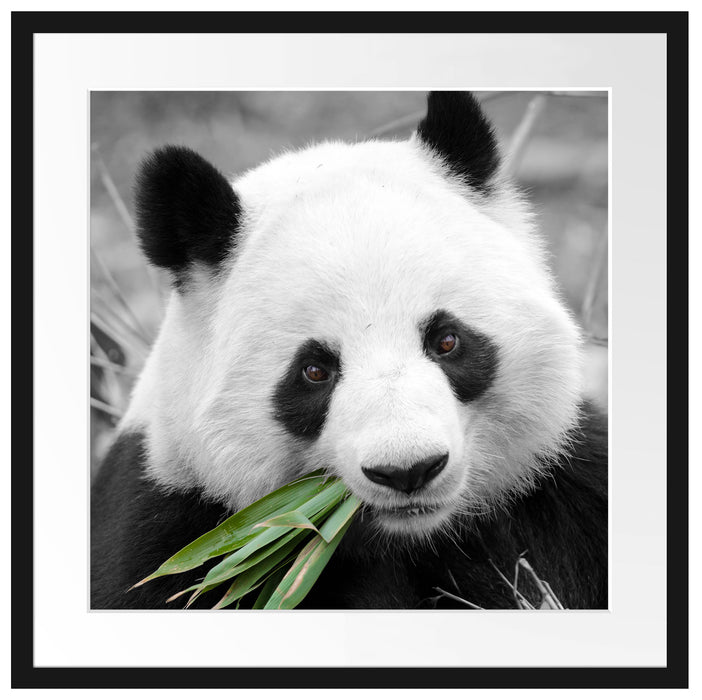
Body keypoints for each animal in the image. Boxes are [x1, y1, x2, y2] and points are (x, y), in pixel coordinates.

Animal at [91, 92, 608, 610]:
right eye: (315, 370)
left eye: (446, 340)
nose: (408, 470)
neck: (412, 537)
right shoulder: (174, 529)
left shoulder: (562, 489)